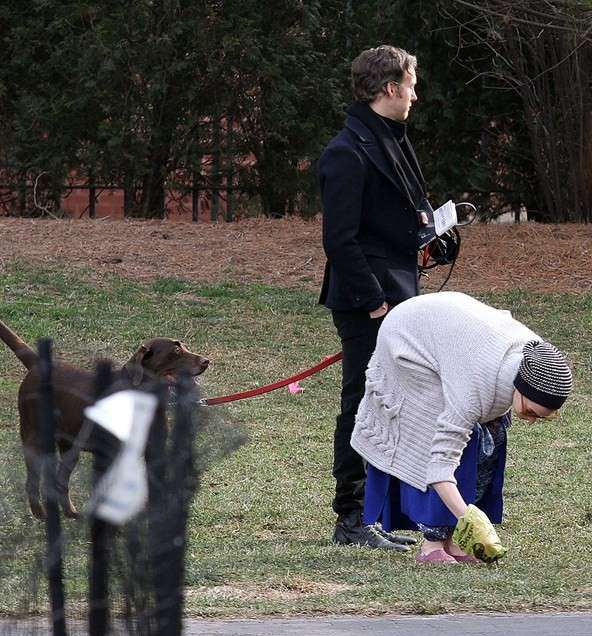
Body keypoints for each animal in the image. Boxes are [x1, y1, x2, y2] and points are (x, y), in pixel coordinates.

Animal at [0, 318, 209, 520]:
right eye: (176, 351)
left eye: (185, 347)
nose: (206, 361)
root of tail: (37, 364)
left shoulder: (153, 451)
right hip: (35, 437)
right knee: (32, 481)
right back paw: (40, 514)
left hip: (69, 446)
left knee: (60, 479)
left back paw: (70, 513)